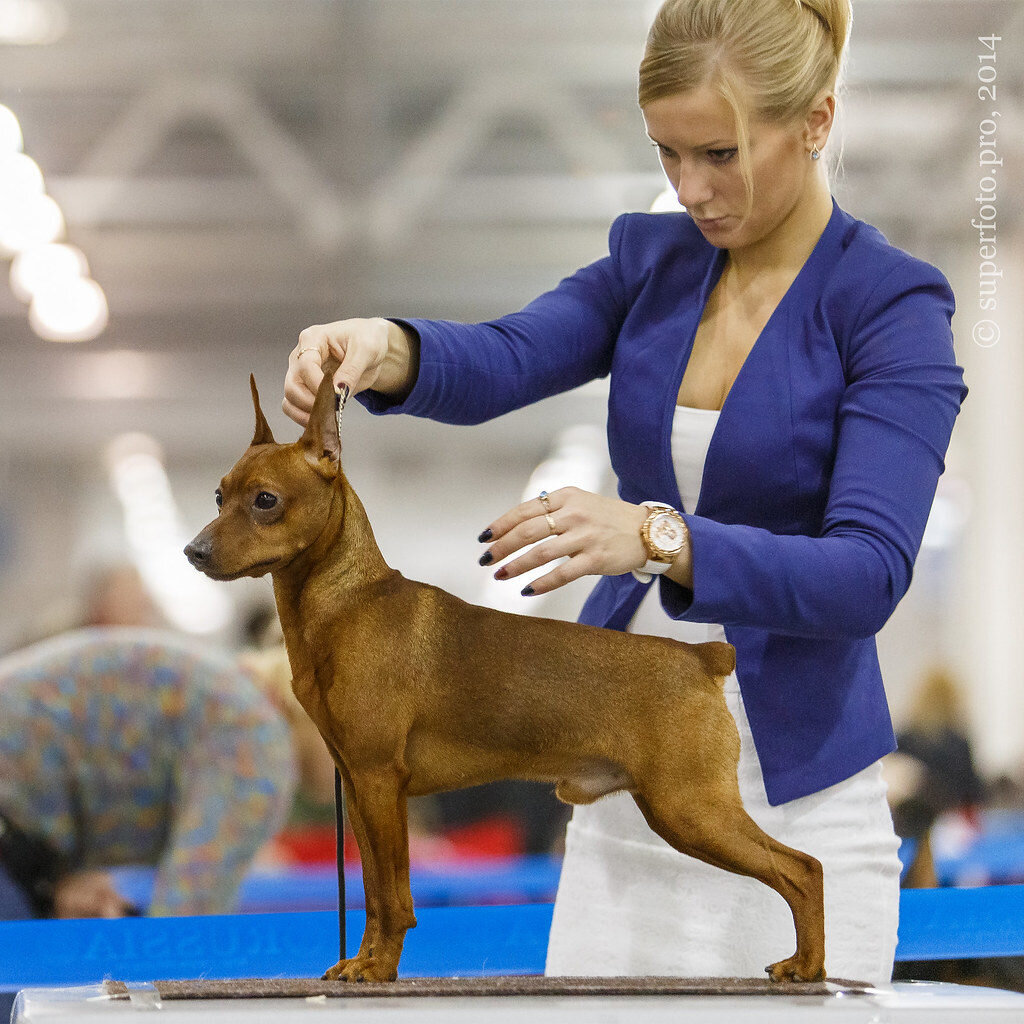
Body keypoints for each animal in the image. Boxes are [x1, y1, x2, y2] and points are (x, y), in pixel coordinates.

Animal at [184, 366, 823, 983]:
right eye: (218, 496)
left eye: (265, 500)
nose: (193, 552)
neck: (348, 603)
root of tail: (703, 659)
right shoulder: (360, 785)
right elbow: (371, 892)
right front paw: (362, 963)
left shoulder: (380, 781)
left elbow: (392, 897)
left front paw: (379, 969)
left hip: (691, 807)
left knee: (803, 868)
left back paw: (808, 966)